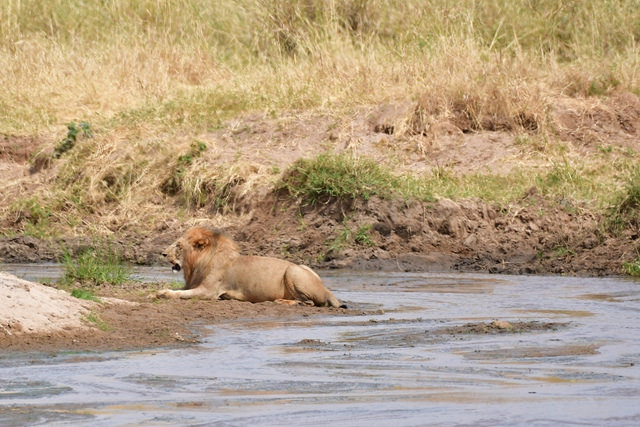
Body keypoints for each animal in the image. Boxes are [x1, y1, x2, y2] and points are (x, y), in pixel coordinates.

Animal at [156, 227, 344, 308]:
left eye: (178, 246)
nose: (163, 254)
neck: (196, 264)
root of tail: (327, 290)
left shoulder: (208, 291)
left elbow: (180, 294)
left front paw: (162, 294)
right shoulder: (195, 284)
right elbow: (181, 290)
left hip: (293, 270)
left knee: (309, 302)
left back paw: (281, 301)